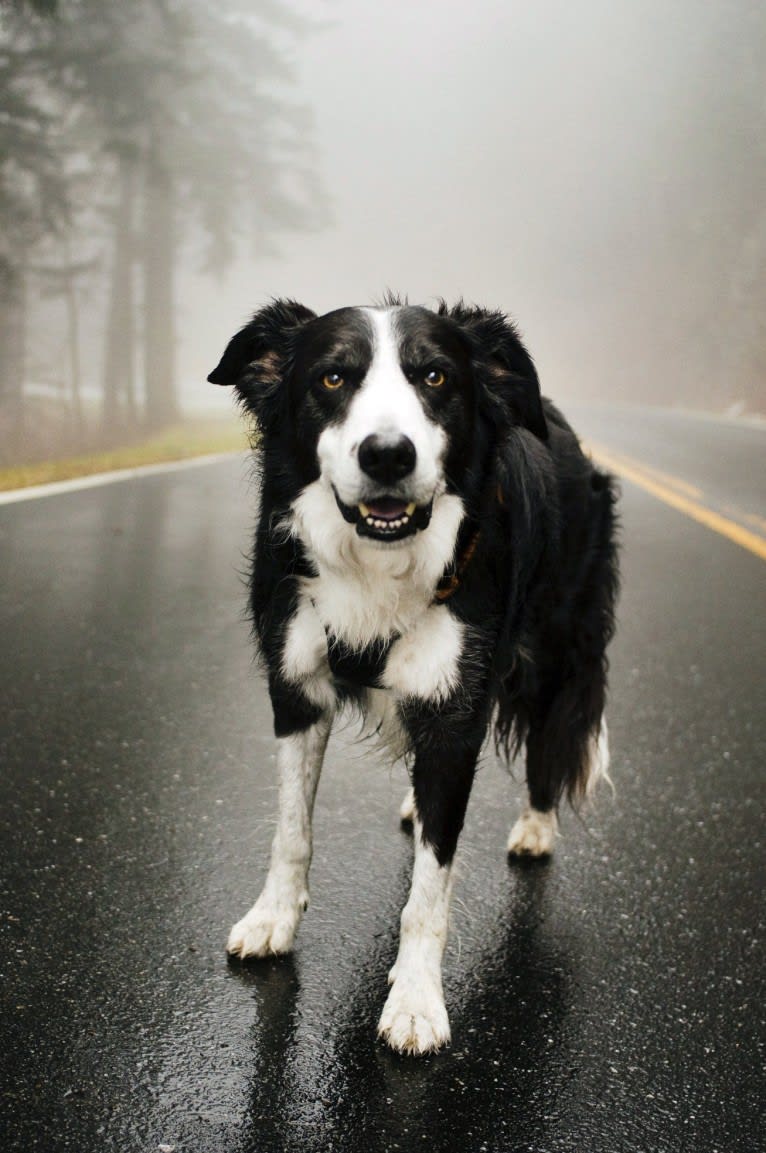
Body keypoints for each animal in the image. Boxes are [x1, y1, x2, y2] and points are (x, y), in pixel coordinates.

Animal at [206, 295, 618, 1056]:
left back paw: (536, 825)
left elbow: (430, 888)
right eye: (333, 378)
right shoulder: (294, 685)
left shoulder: (456, 712)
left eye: (435, 376)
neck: (377, 561)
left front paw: (417, 1001)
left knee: (552, 734)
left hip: (557, 643)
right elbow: (291, 829)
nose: (388, 454)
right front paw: (273, 919)